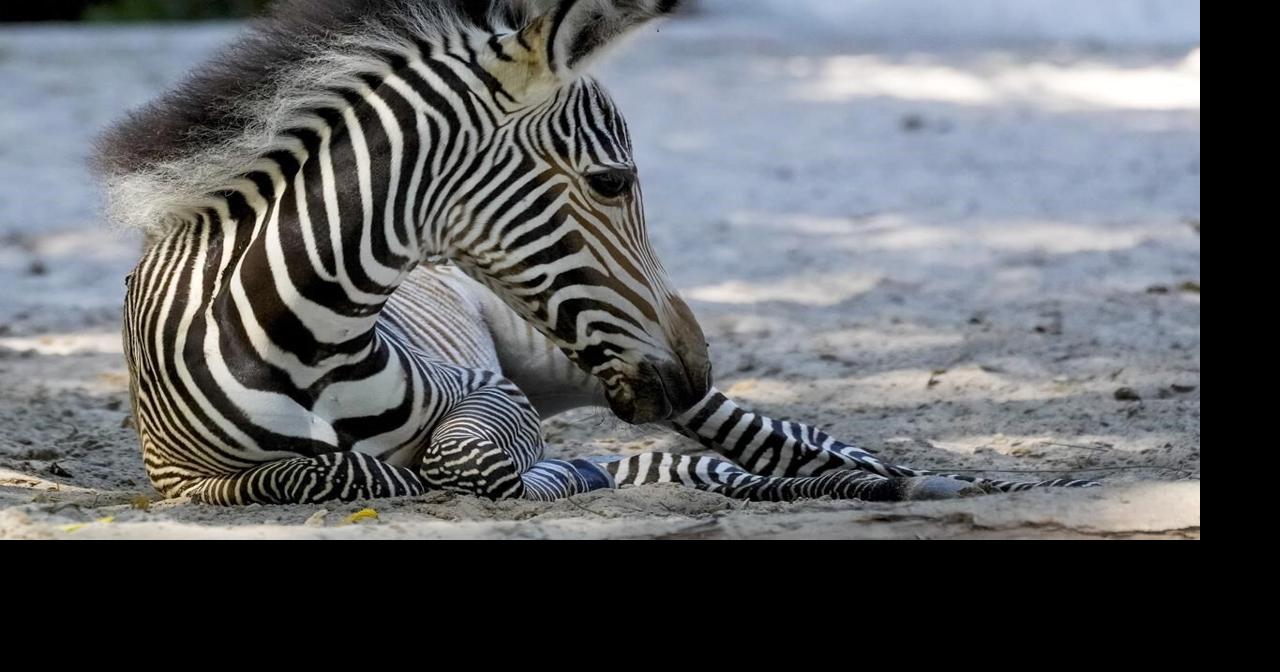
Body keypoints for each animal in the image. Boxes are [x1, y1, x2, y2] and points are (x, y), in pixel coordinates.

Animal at [95, 0, 1097, 506]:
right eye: (612, 182)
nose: (694, 367)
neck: (306, 340)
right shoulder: (179, 481)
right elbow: (332, 471)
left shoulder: (490, 395)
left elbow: (462, 462)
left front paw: (542, 473)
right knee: (688, 462)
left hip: (581, 366)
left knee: (789, 443)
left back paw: (932, 480)